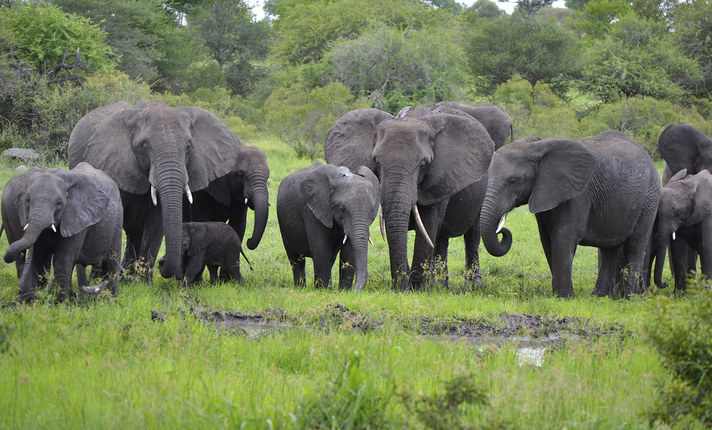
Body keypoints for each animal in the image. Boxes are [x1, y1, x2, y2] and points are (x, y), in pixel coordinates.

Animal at [3, 162, 124, 302]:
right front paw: (26, 303)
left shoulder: (76, 220)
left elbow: (62, 261)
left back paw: (113, 299)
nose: (19, 254)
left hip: (117, 221)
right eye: (27, 200)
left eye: (59, 203)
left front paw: (59, 304)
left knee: (112, 262)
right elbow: (35, 259)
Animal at [67, 99, 245, 280]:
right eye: (144, 146)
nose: (162, 263)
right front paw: (103, 278)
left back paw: (128, 277)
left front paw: (144, 282)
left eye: (188, 146)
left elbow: (157, 223)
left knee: (135, 230)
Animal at [324, 109, 496, 290]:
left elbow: (428, 224)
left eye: (423, 163)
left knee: (472, 234)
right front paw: (407, 287)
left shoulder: (439, 177)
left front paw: (417, 289)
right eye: (377, 161)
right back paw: (440, 285)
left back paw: (473, 285)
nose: (401, 287)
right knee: (441, 240)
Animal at [478, 132, 660, 298]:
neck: (535, 147)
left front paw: (564, 297)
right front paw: (561, 295)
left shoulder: (577, 194)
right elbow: (546, 238)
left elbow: (564, 235)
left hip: (649, 199)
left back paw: (629, 298)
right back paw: (598, 296)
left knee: (635, 245)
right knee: (609, 249)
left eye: (513, 181)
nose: (501, 231)